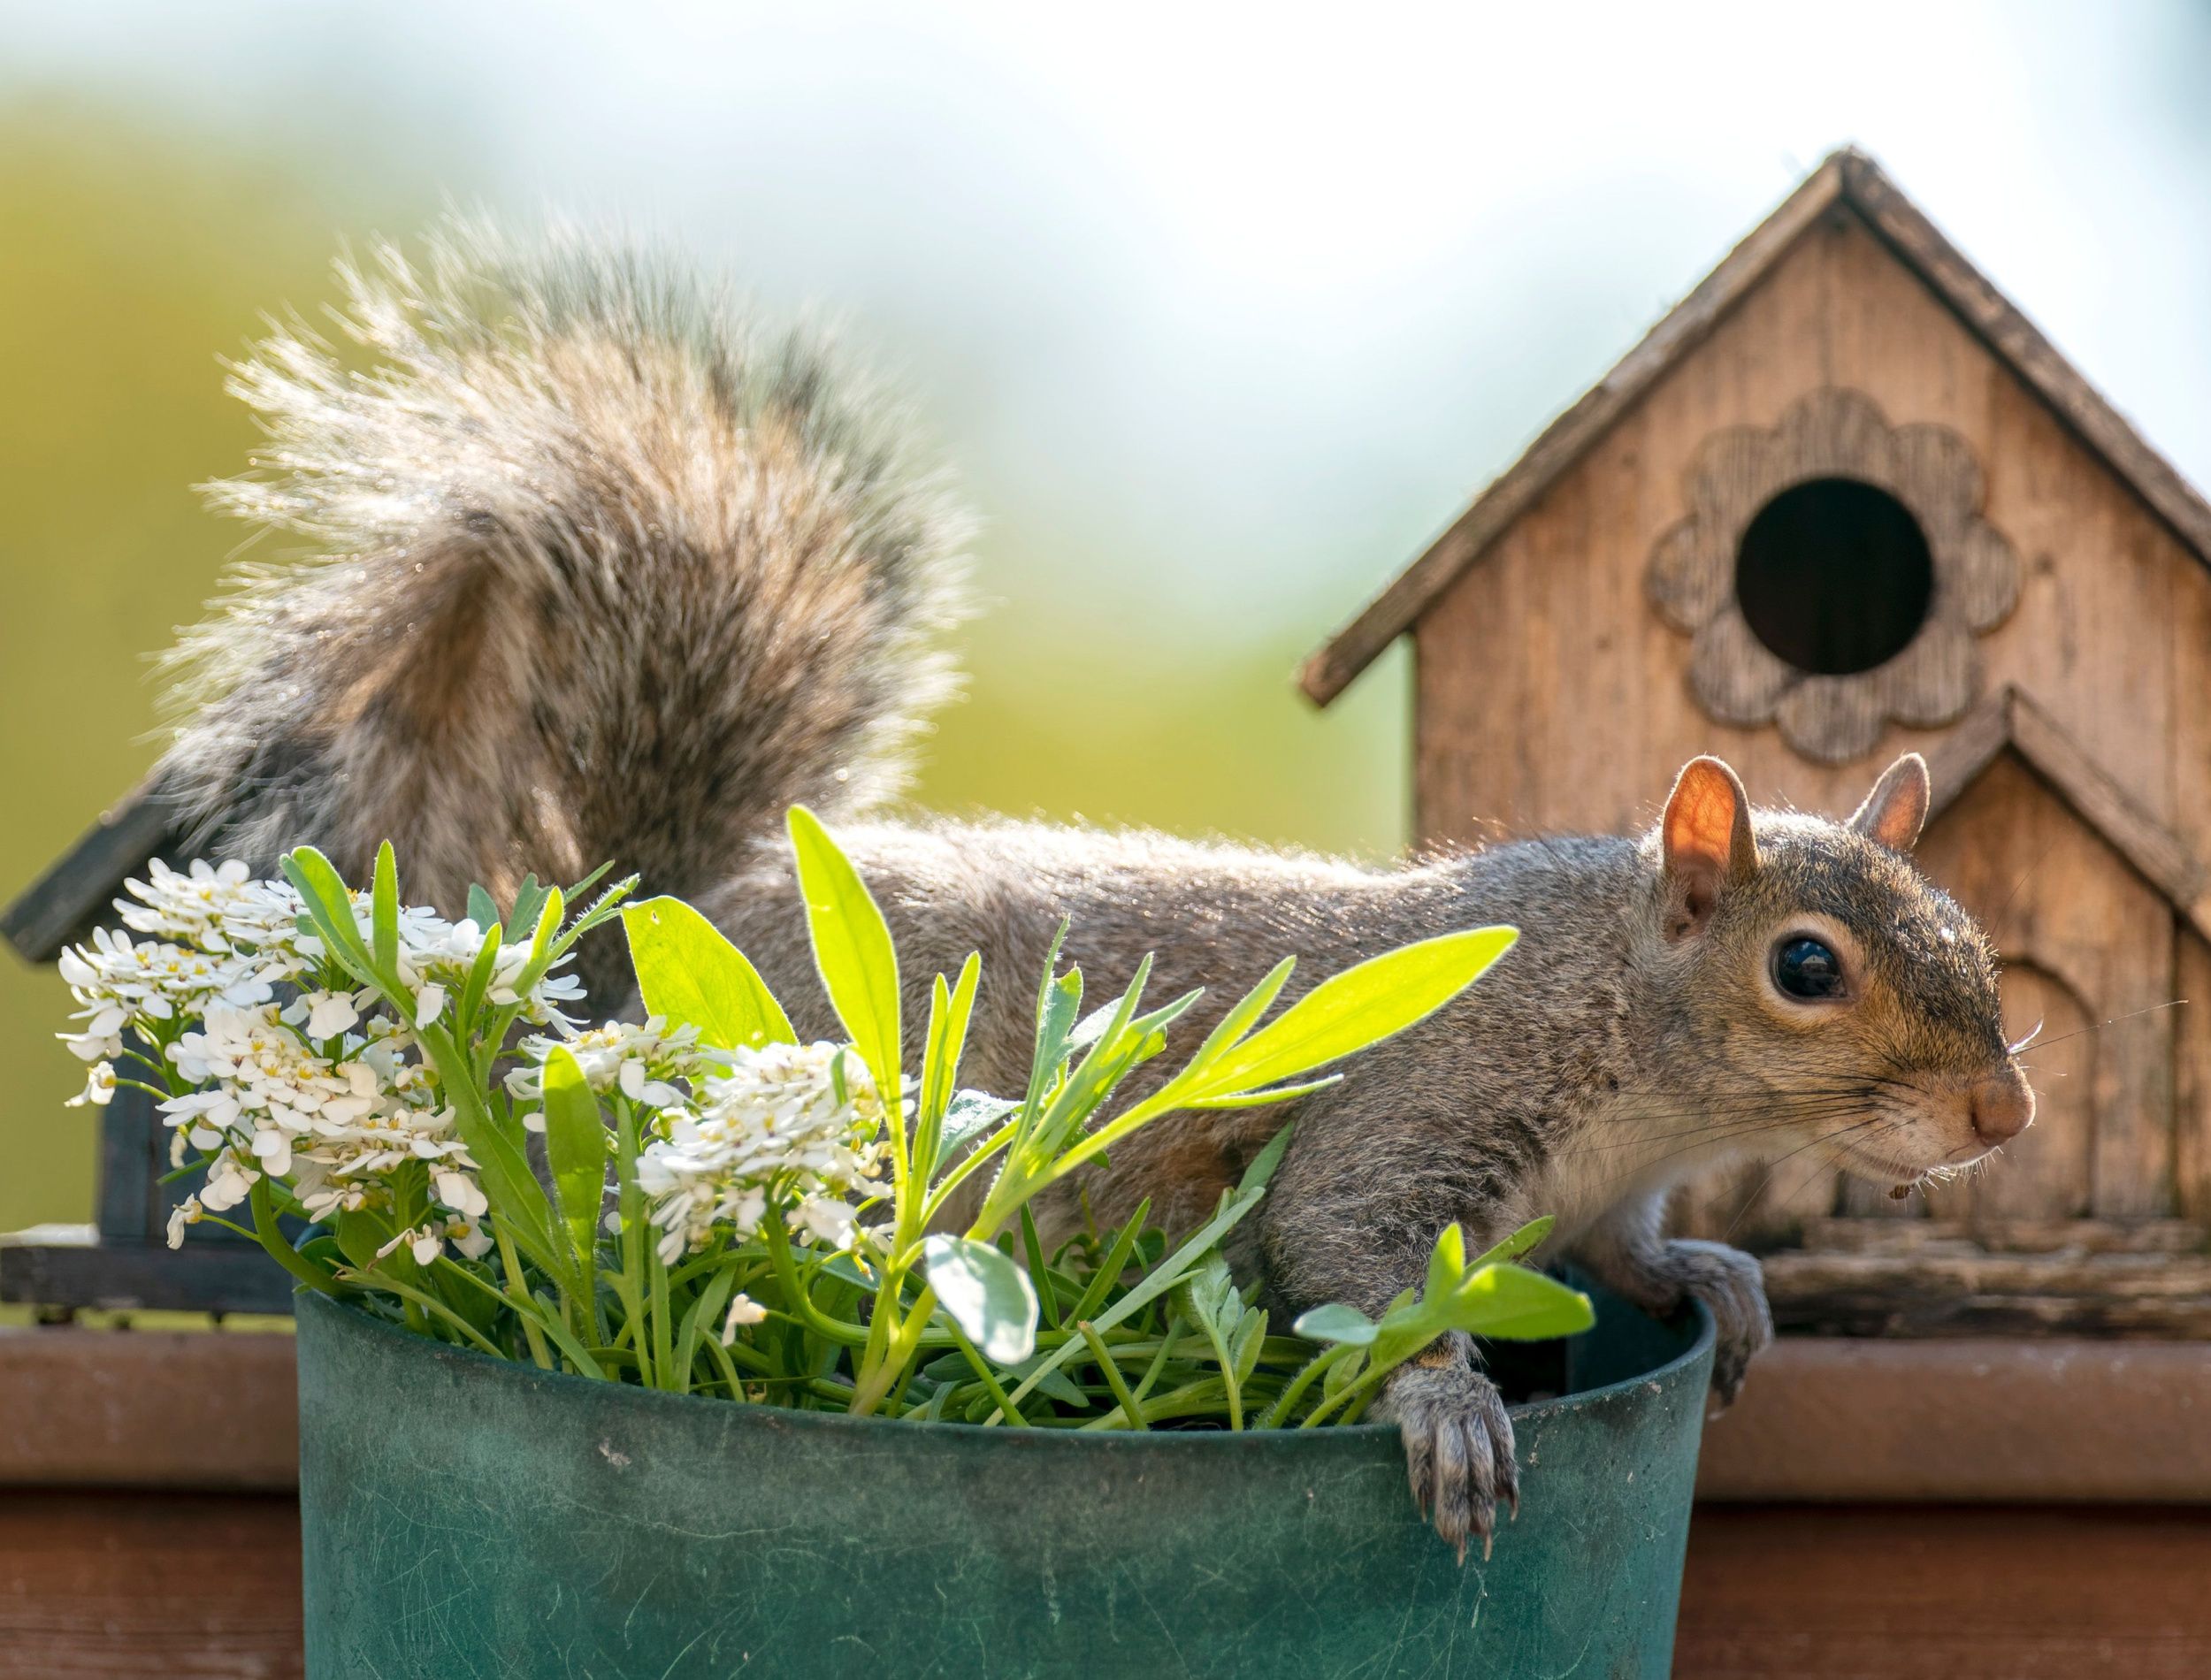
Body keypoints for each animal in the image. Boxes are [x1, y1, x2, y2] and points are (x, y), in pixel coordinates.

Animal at [147, 223, 2025, 1547]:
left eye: (1973, 937)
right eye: (1806, 968)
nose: (2003, 1114)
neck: (1632, 1055)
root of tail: (622, 951)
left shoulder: (1602, 1197)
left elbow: (1631, 1258)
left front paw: (1718, 1282)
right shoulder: (1422, 1102)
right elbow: (1345, 1253)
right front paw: (1450, 1409)